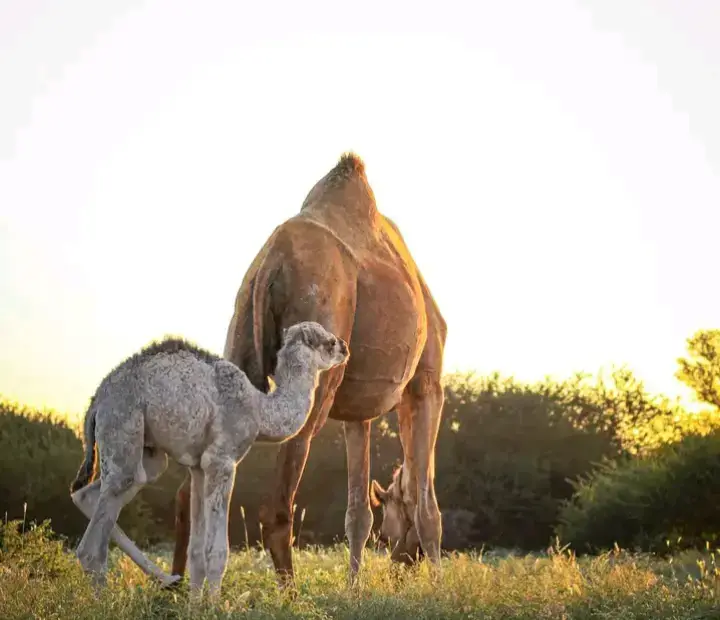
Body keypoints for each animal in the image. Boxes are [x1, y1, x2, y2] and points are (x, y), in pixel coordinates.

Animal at [69, 320, 348, 596]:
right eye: (329, 342)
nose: (345, 347)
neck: (259, 411)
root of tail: (96, 402)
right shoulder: (221, 461)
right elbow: (216, 552)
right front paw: (215, 603)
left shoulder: (199, 468)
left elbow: (197, 552)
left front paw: (196, 603)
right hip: (122, 423)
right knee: (92, 545)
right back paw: (105, 598)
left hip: (147, 453)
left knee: (90, 493)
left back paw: (166, 579)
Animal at [172, 151, 448, 588]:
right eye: (390, 534)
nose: (400, 567)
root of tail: (272, 262)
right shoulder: (426, 384)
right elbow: (427, 506)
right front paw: (438, 587)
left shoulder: (358, 411)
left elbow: (358, 512)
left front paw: (354, 589)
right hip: (315, 354)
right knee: (275, 508)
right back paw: (290, 593)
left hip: (240, 341)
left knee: (188, 494)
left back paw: (176, 586)